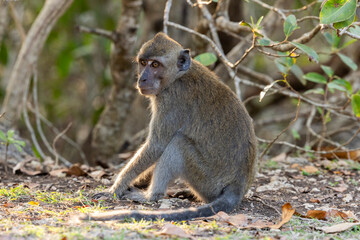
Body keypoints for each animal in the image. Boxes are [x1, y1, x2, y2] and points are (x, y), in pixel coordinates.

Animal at [80, 32, 258, 222]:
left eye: (155, 65)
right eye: (143, 62)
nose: (142, 78)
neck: (177, 77)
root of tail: (237, 186)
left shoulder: (171, 99)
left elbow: (157, 145)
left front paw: (115, 189)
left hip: (209, 181)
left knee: (178, 143)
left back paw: (150, 196)